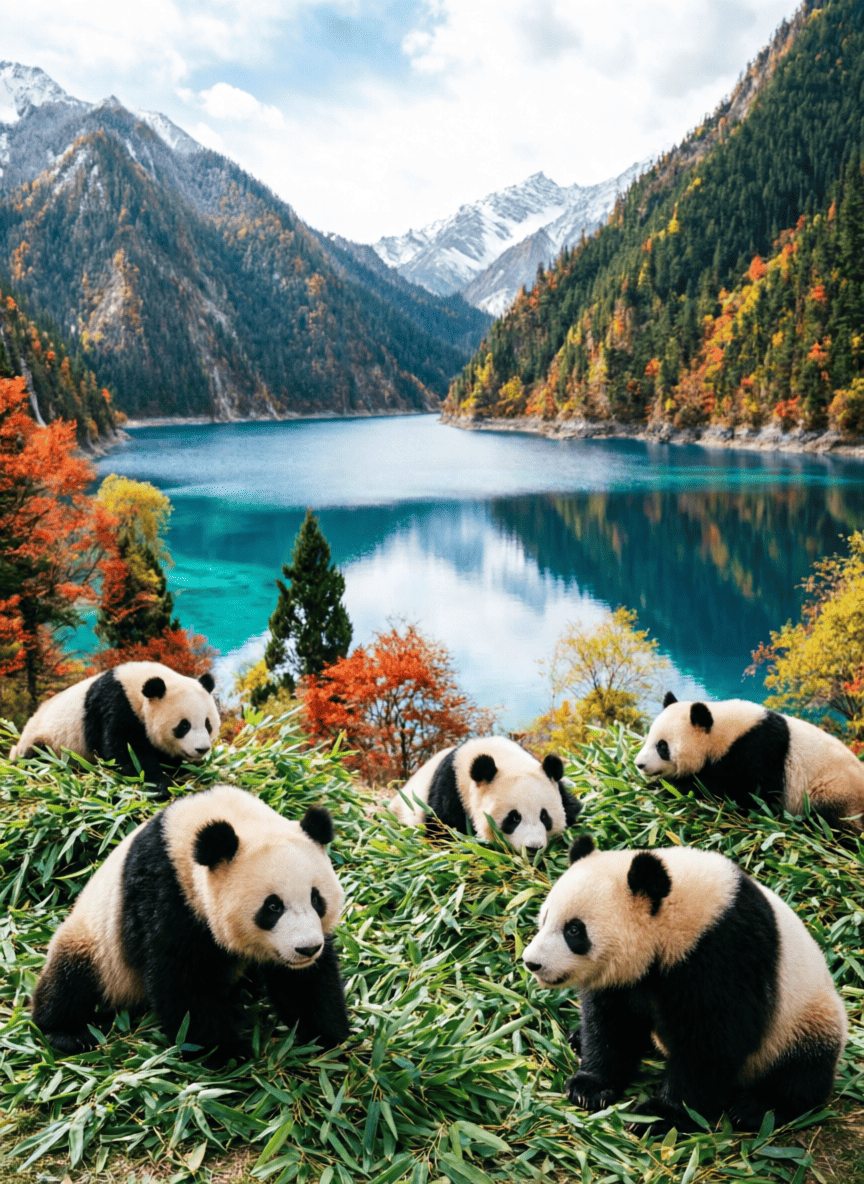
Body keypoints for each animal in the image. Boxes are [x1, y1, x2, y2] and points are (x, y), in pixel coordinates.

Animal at [10, 661, 220, 796]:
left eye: (208, 724)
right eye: (184, 725)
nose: (202, 749)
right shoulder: (114, 706)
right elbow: (126, 753)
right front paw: (162, 784)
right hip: (44, 742)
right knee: (37, 757)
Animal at [31, 784, 349, 1062]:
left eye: (316, 899)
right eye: (273, 906)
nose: (307, 949)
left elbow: (305, 982)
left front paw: (327, 1038)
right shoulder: (165, 892)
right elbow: (181, 979)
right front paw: (225, 1051)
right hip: (96, 943)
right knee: (71, 982)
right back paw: (67, 1033)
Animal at [387, 735, 582, 854]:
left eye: (544, 816)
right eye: (514, 818)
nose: (533, 847)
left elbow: (572, 808)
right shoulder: (450, 793)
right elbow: (444, 833)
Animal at [522, 835, 847, 1133]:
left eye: (574, 930)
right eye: (544, 919)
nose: (531, 962)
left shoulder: (724, 952)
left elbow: (714, 1041)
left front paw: (659, 1115)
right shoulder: (627, 977)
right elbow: (610, 1021)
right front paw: (590, 1087)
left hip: (803, 1019)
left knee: (801, 1070)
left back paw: (757, 1108)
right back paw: (578, 1037)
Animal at [635, 692, 864, 833]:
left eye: (662, 747)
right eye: (649, 737)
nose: (639, 764)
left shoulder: (759, 752)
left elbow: (751, 796)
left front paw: (673, 787)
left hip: (836, 789)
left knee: (831, 819)